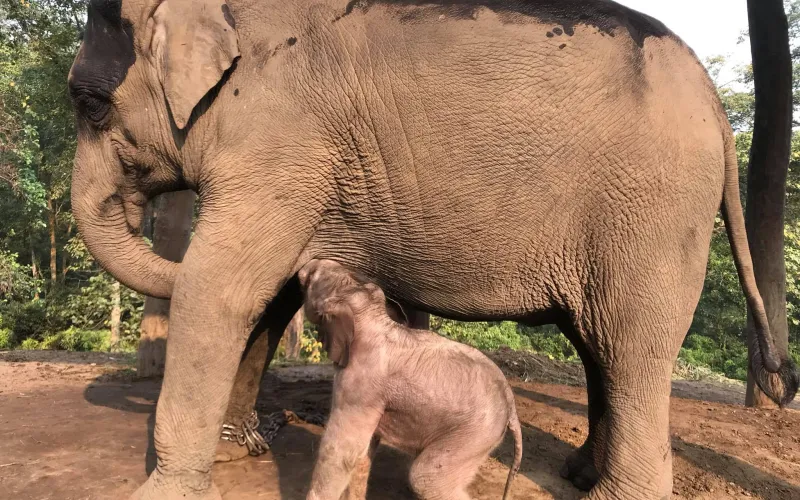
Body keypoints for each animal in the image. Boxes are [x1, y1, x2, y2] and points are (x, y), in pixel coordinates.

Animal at [298, 258, 523, 500]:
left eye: (312, 278)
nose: (311, 263)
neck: (373, 317)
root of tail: (511, 405)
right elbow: (364, 451)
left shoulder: (360, 387)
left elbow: (342, 452)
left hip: (473, 434)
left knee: (426, 478)